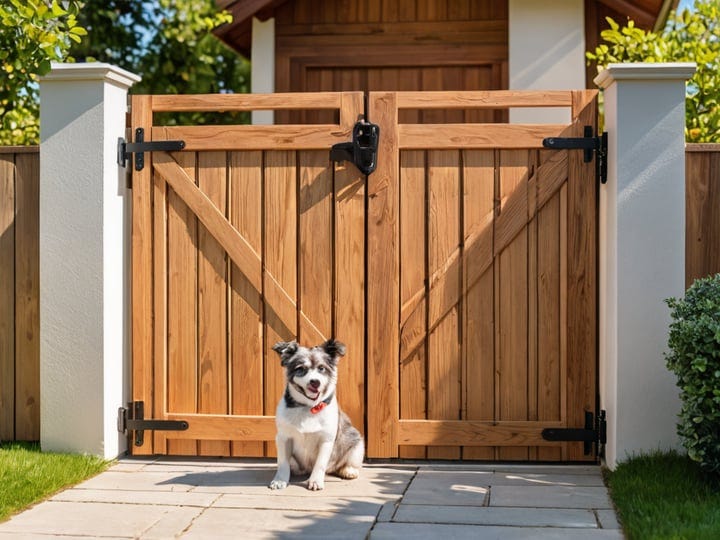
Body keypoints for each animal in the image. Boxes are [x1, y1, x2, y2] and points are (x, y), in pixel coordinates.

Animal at [268, 340, 366, 492]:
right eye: (300, 368)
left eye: (321, 368)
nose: (315, 382)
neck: (308, 408)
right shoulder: (283, 437)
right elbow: (283, 463)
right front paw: (280, 480)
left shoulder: (326, 440)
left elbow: (320, 464)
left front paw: (315, 481)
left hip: (357, 442)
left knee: (346, 462)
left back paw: (348, 470)